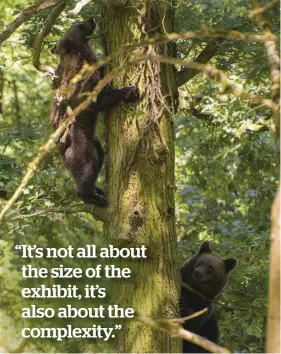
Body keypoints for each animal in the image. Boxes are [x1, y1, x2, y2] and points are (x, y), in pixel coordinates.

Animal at [50, 18, 139, 206]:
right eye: (79, 25)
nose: (91, 19)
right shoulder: (81, 85)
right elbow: (97, 100)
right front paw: (130, 91)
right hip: (78, 138)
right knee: (87, 163)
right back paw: (92, 197)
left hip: (92, 140)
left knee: (99, 156)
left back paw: (96, 189)